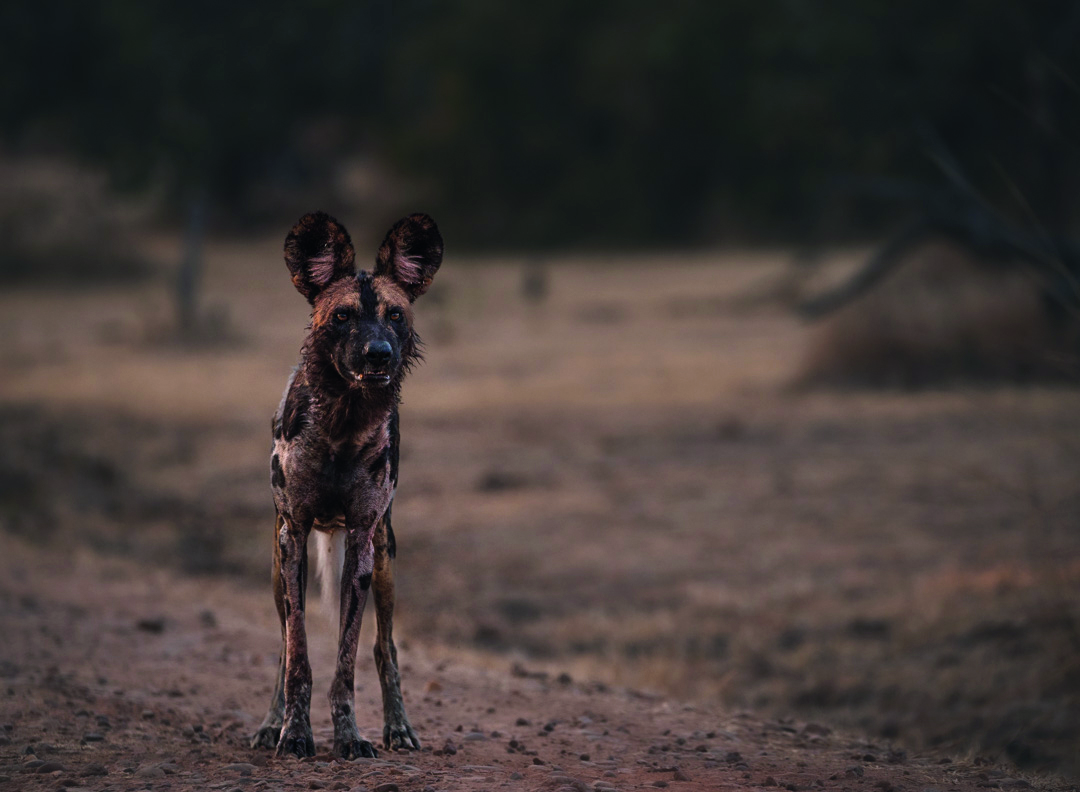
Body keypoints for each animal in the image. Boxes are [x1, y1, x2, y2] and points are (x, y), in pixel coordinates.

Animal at [250, 211, 440, 760]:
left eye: (395, 316)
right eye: (341, 317)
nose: (379, 355)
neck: (342, 423)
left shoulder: (360, 538)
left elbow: (347, 661)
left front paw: (350, 736)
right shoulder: (293, 535)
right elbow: (298, 658)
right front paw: (293, 733)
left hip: (384, 561)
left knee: (385, 647)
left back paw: (399, 728)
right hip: (278, 570)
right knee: (284, 642)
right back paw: (271, 724)